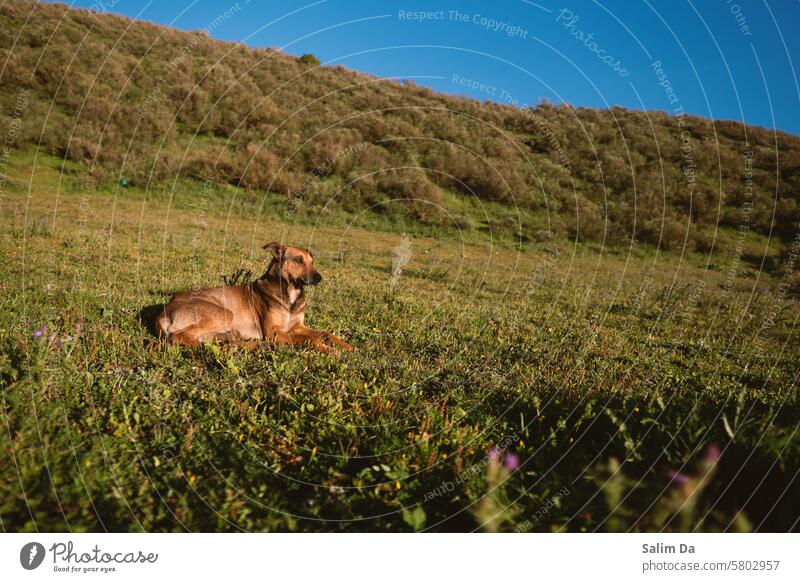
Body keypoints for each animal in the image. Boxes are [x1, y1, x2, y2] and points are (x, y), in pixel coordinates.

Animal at [155, 243, 354, 356]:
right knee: (178, 336)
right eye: (299, 260)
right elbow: (310, 339)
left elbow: (325, 333)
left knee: (226, 343)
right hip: (223, 313)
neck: (290, 293)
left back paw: (260, 346)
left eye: (312, 262)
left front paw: (347, 346)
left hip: (223, 330)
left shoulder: (297, 326)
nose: (319, 278)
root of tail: (164, 311)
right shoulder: (275, 333)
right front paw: (328, 349)